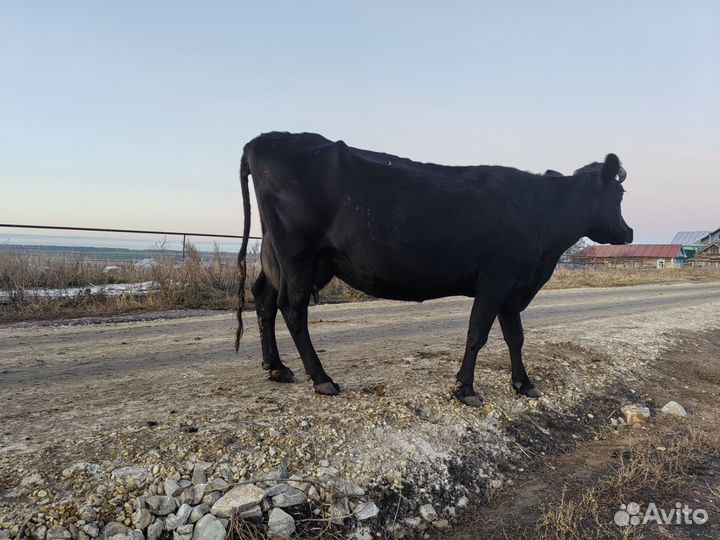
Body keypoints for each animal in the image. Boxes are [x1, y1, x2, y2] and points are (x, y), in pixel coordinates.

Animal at [235, 132, 632, 406]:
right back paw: (321, 378)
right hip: (298, 255)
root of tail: (263, 140)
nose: (628, 232)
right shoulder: (496, 278)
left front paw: (524, 384)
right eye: (620, 195)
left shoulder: (513, 286)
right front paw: (465, 388)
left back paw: (276, 367)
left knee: (264, 299)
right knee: (293, 309)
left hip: (283, 255)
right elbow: (477, 334)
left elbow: (515, 337)